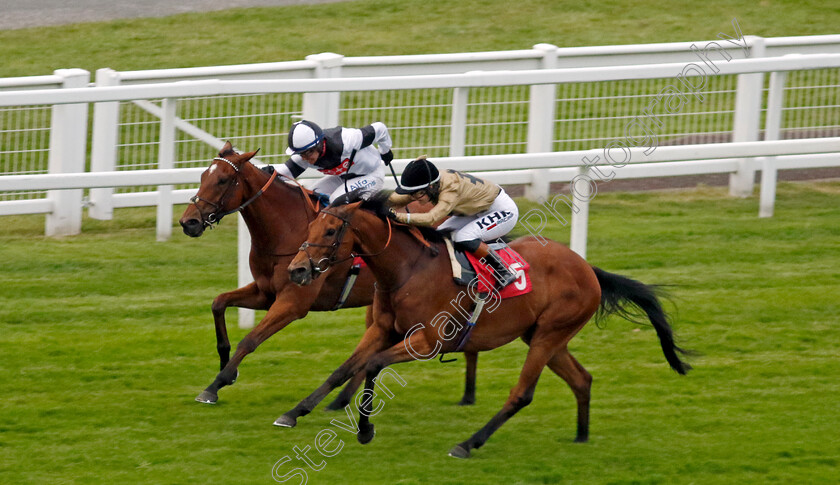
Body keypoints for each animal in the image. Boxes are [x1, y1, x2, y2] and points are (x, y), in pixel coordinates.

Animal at [177, 143, 480, 404]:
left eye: (223, 180)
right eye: (203, 175)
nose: (188, 222)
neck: (287, 230)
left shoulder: (293, 302)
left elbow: (251, 339)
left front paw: (217, 384)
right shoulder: (265, 292)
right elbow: (219, 303)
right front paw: (224, 363)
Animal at [282, 193, 688, 458]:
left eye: (331, 231)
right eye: (311, 225)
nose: (297, 270)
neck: (408, 268)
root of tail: (588, 268)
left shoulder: (428, 341)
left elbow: (372, 365)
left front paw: (365, 430)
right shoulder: (382, 329)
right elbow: (344, 368)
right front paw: (294, 413)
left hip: (548, 335)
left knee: (522, 393)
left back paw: (468, 443)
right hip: (545, 336)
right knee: (581, 379)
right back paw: (581, 438)